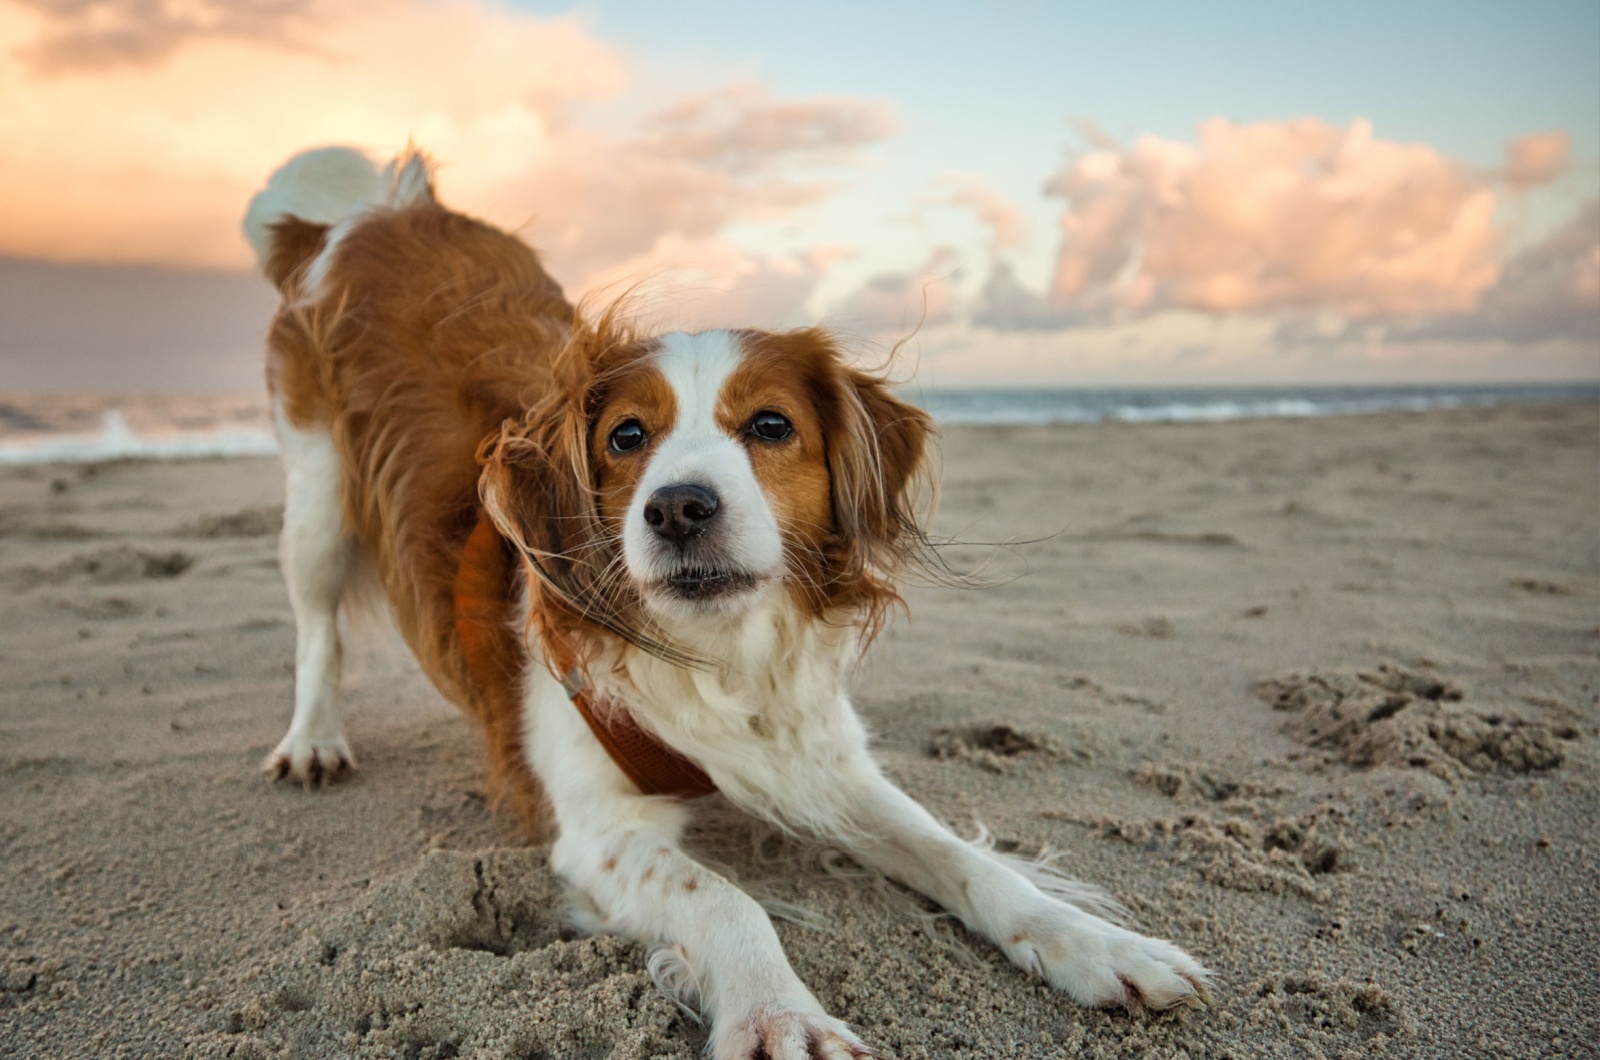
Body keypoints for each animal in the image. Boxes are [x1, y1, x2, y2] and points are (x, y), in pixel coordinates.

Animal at [240, 147, 1209, 1060]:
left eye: (772, 425)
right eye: (626, 437)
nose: (677, 508)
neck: (721, 656)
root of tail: (382, 211)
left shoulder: (825, 762)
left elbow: (965, 859)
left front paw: (1096, 944)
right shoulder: (597, 829)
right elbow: (726, 897)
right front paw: (780, 1015)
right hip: (316, 496)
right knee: (316, 628)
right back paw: (313, 740)